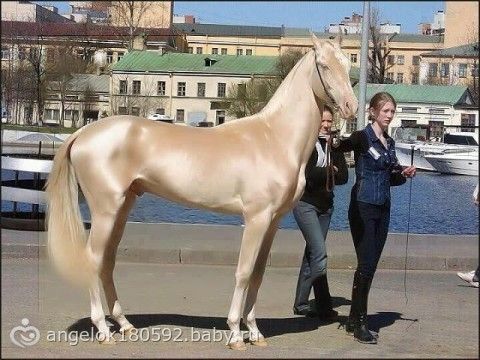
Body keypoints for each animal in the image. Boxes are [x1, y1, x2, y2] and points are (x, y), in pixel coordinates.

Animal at [46, 33, 356, 348]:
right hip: (105, 210)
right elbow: (244, 272)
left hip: (122, 208)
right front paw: (235, 333)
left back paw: (124, 324)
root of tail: (83, 133)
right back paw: (103, 330)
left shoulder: (273, 222)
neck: (274, 138)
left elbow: (258, 274)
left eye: (346, 64)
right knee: (93, 260)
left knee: (107, 261)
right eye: (323, 65)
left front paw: (255, 332)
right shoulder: (256, 218)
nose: (351, 106)